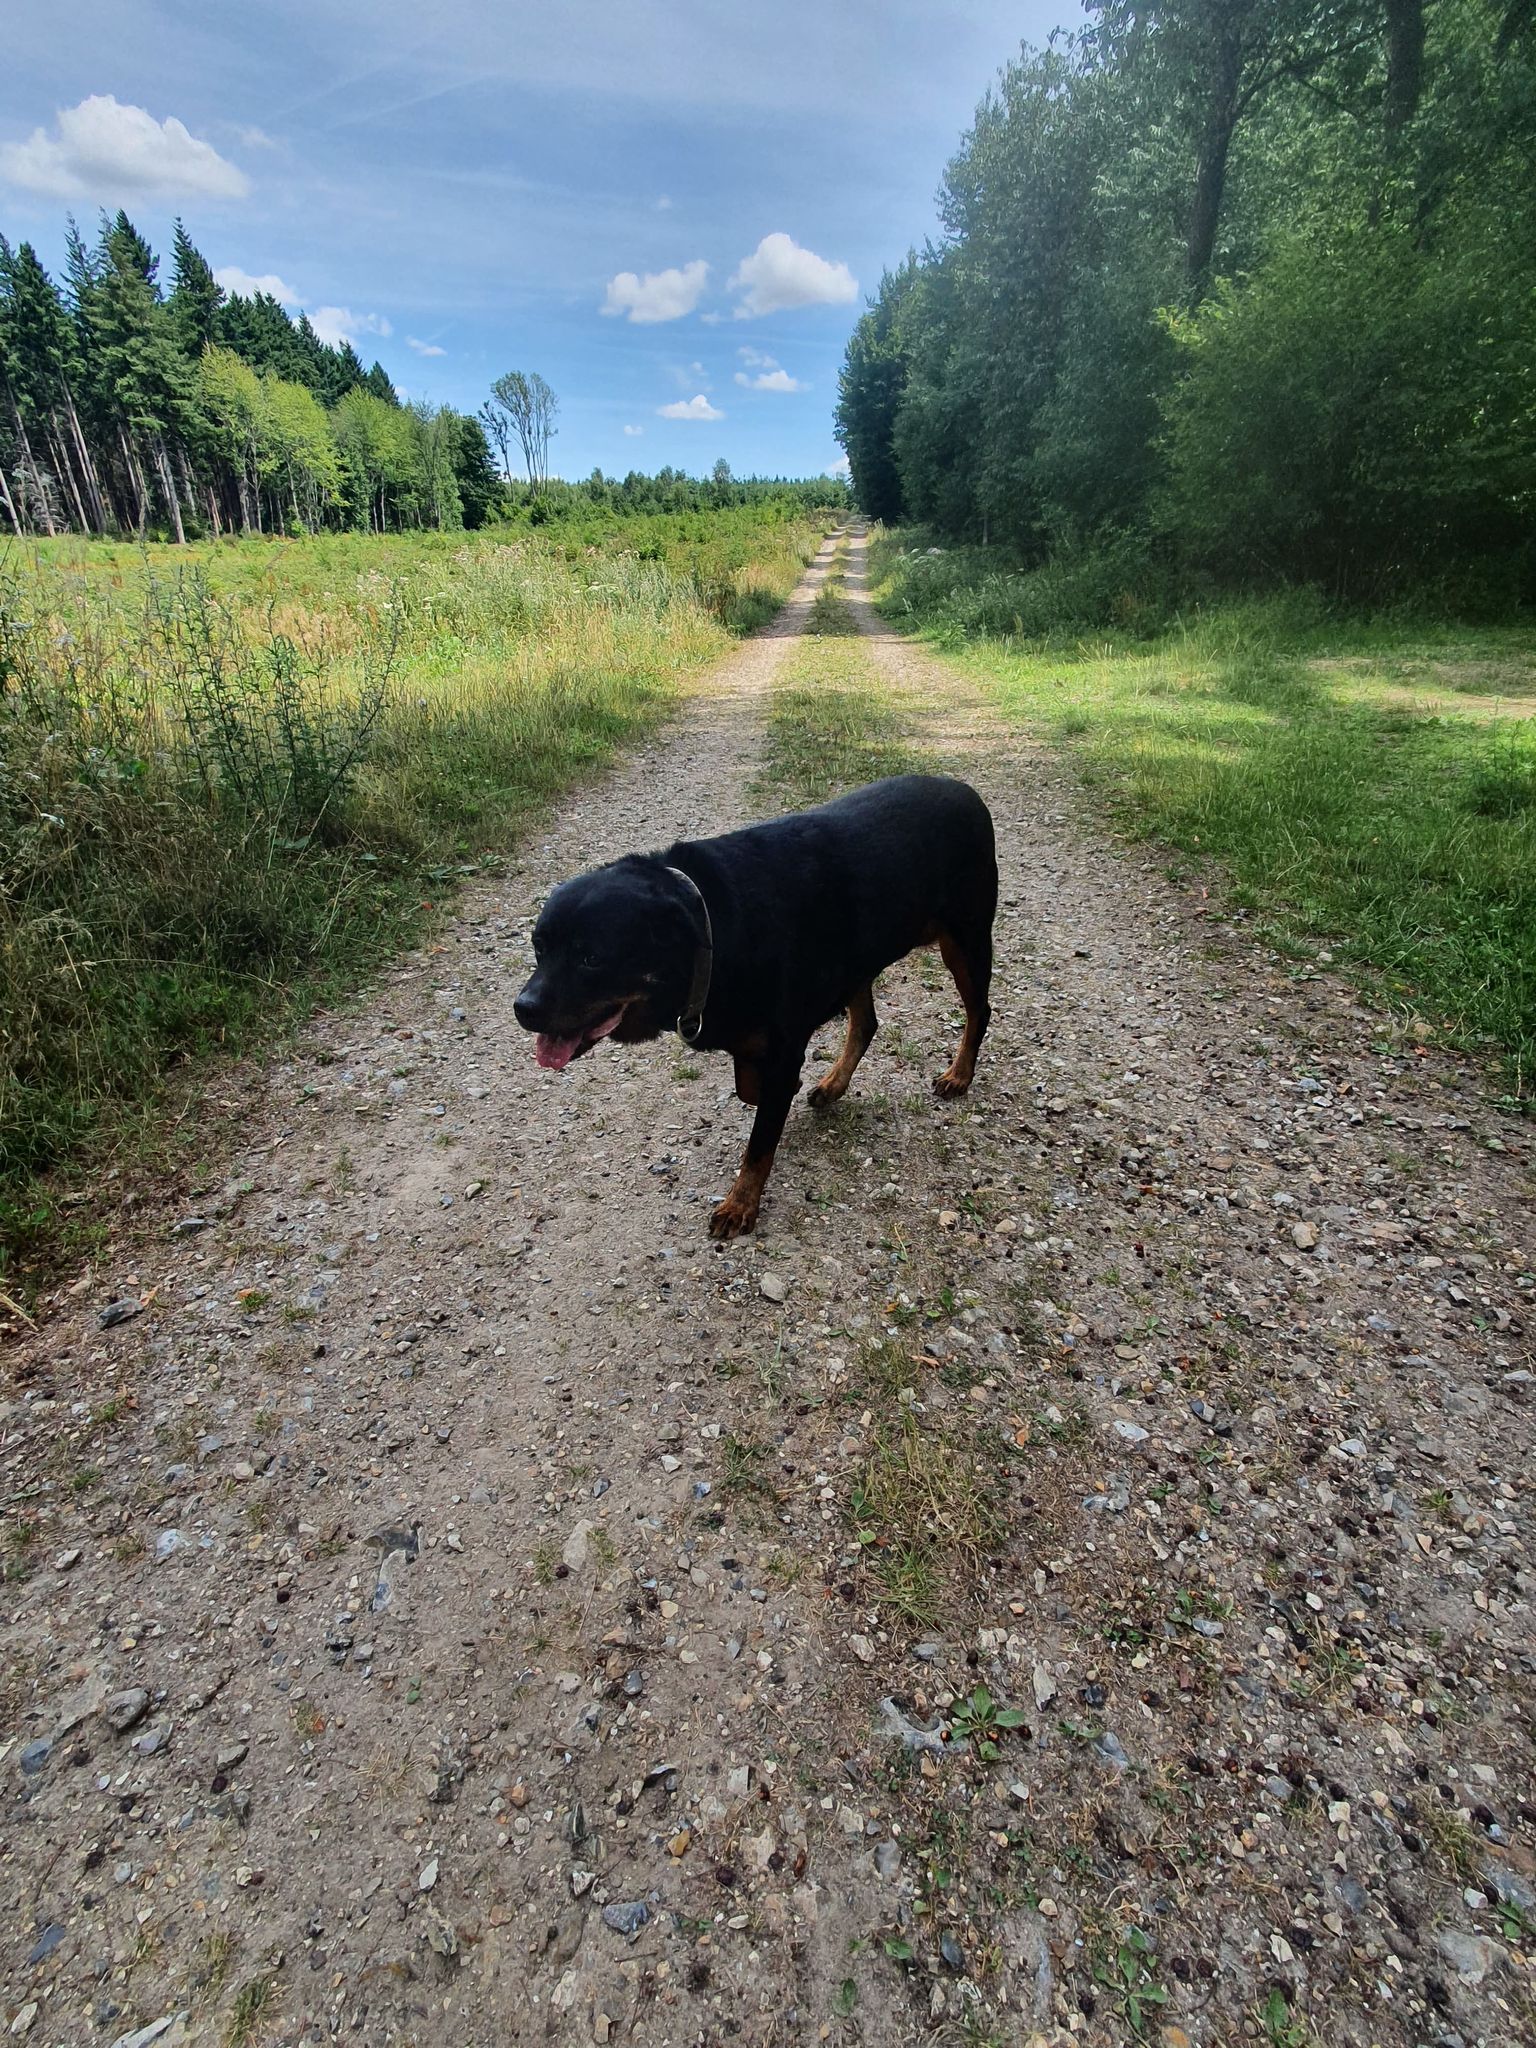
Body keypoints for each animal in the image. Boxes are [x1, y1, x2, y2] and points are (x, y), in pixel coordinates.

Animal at [513, 773, 997, 1238]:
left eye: (592, 958)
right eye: (539, 947)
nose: (523, 1007)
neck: (712, 929)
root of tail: (965, 790)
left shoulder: (783, 1046)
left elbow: (760, 1140)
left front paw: (740, 1204)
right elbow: (752, 1089)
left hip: (966, 940)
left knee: (979, 1011)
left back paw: (958, 1075)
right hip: (859, 958)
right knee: (866, 1022)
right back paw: (834, 1083)